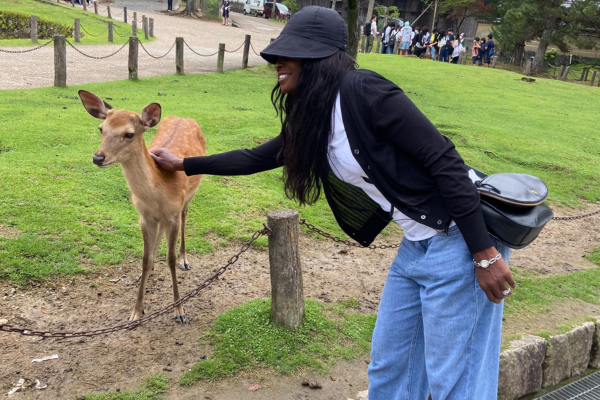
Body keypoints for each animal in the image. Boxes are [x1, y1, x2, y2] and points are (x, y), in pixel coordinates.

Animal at [78, 90, 205, 322]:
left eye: (129, 134)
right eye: (101, 128)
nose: (98, 157)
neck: (158, 193)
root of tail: (184, 117)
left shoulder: (172, 214)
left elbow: (170, 259)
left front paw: (179, 310)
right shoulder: (144, 217)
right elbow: (145, 259)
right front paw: (136, 311)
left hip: (190, 195)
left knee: (185, 215)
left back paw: (185, 260)